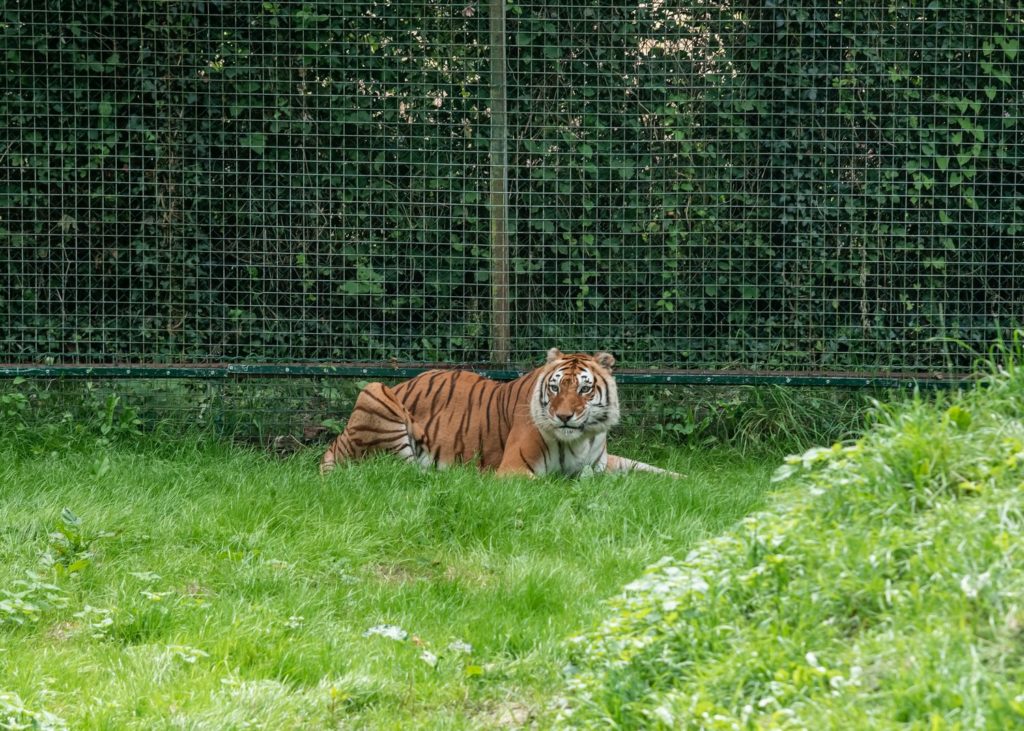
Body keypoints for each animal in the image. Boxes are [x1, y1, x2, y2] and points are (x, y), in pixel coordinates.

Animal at [319, 348, 679, 479]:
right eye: (555, 388)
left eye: (584, 389)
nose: (563, 417)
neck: (582, 439)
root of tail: (336, 442)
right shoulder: (515, 471)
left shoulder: (603, 460)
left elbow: (650, 468)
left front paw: (687, 482)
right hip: (374, 389)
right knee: (400, 473)